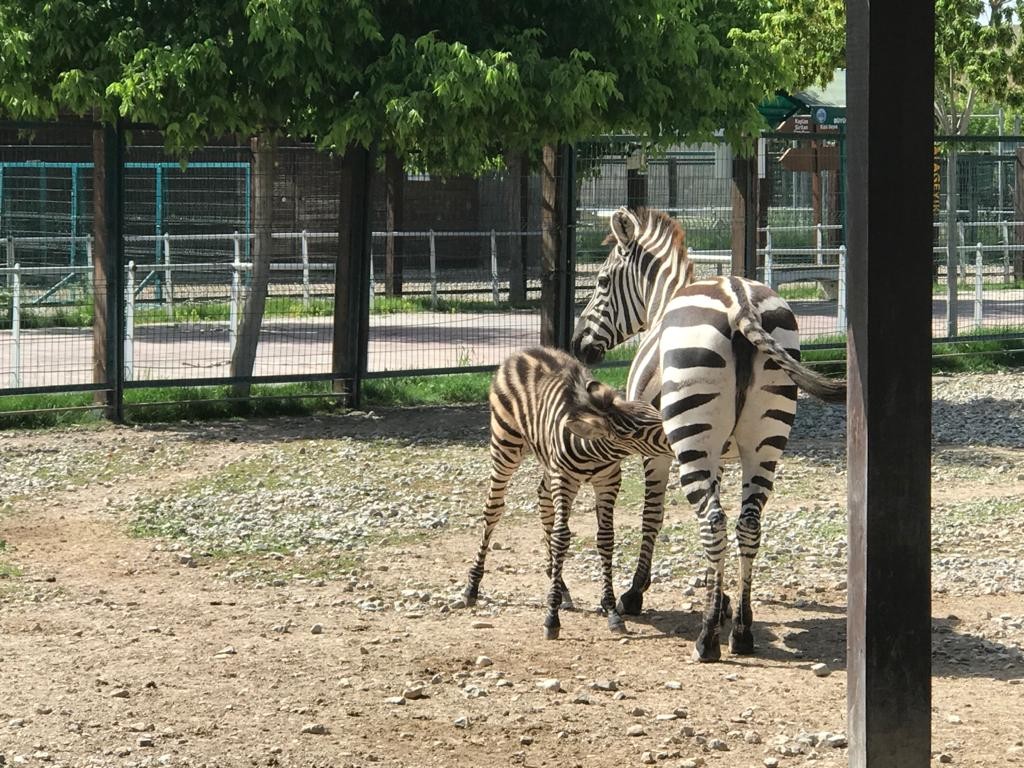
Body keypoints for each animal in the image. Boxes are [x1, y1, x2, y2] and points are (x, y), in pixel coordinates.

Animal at [463, 346, 672, 639]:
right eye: (637, 431)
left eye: (653, 411)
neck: (593, 450)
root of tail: (524, 351)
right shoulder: (565, 479)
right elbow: (562, 537)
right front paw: (552, 618)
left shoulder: (608, 481)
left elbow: (605, 538)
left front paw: (611, 611)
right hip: (505, 445)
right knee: (493, 509)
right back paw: (472, 586)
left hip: (546, 463)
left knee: (543, 500)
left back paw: (560, 585)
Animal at [571, 206, 845, 662]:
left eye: (602, 282)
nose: (578, 346)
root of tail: (739, 300)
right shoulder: (716, 452)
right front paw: (722, 604)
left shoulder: (657, 450)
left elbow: (653, 516)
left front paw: (636, 593)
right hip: (761, 440)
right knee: (746, 523)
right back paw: (743, 631)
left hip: (693, 435)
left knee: (715, 521)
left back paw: (707, 640)